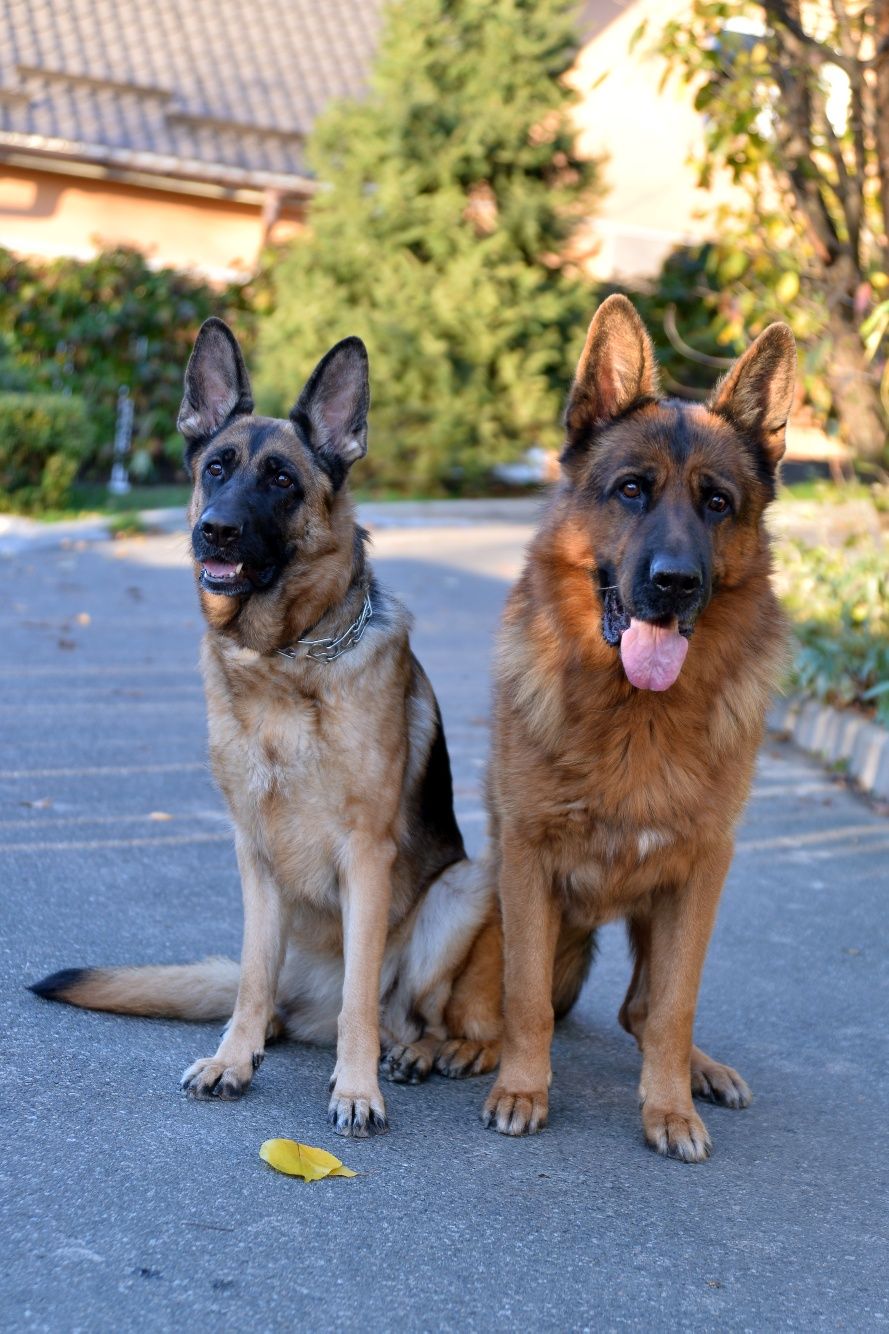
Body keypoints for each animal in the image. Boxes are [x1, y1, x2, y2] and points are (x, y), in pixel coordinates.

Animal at [32, 314, 504, 1136]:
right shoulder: (254, 855)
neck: (287, 660)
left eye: (282, 480)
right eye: (216, 469)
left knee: (432, 1017)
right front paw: (233, 1058)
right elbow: (251, 976)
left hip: (466, 889)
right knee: (282, 998)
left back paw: (424, 1052)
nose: (215, 532)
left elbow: (360, 1000)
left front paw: (356, 1089)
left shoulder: (366, 858)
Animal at [480, 297, 790, 1163]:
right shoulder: (525, 859)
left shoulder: (700, 873)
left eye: (716, 502)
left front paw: (669, 1107)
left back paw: (700, 1072)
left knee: (642, 1010)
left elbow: (673, 1006)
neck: (636, 717)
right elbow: (523, 996)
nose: (674, 585)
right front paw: (522, 1088)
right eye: (630, 491)